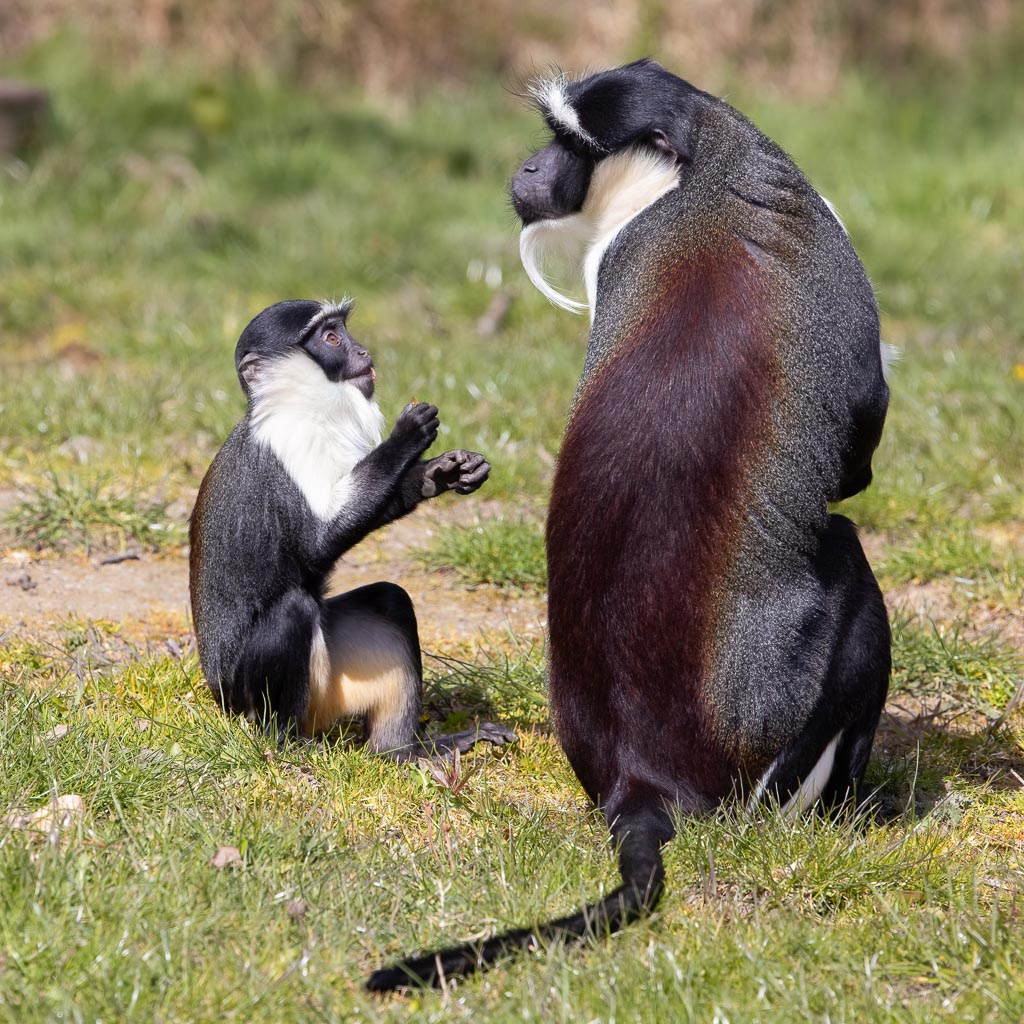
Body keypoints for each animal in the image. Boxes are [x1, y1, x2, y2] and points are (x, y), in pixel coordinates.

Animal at [189, 298, 516, 759]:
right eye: (330, 337)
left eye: (344, 329)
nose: (363, 351)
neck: (301, 409)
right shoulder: (291, 443)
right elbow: (315, 544)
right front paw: (407, 437)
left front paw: (441, 473)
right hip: (246, 701)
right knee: (293, 610)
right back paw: (285, 745)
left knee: (391, 599)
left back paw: (406, 753)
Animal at [367, 59, 891, 991]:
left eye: (567, 142)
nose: (528, 169)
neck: (703, 173)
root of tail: (641, 781)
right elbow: (857, 440)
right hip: (772, 740)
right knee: (849, 565)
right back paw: (854, 811)